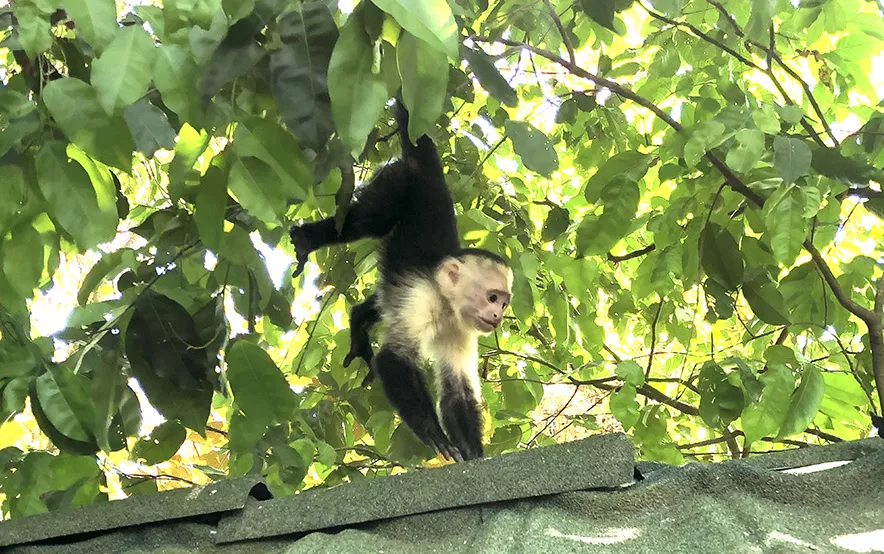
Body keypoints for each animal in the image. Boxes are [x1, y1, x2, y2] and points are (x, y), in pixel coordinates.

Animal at [290, 100, 512, 462]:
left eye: (504, 303)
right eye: (492, 298)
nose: (498, 316)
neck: (446, 304)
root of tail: (428, 171)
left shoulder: (462, 327)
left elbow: (457, 390)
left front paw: (473, 452)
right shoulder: (422, 297)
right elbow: (392, 361)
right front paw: (433, 433)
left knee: (384, 296)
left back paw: (361, 317)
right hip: (397, 179)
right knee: (368, 220)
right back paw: (310, 238)